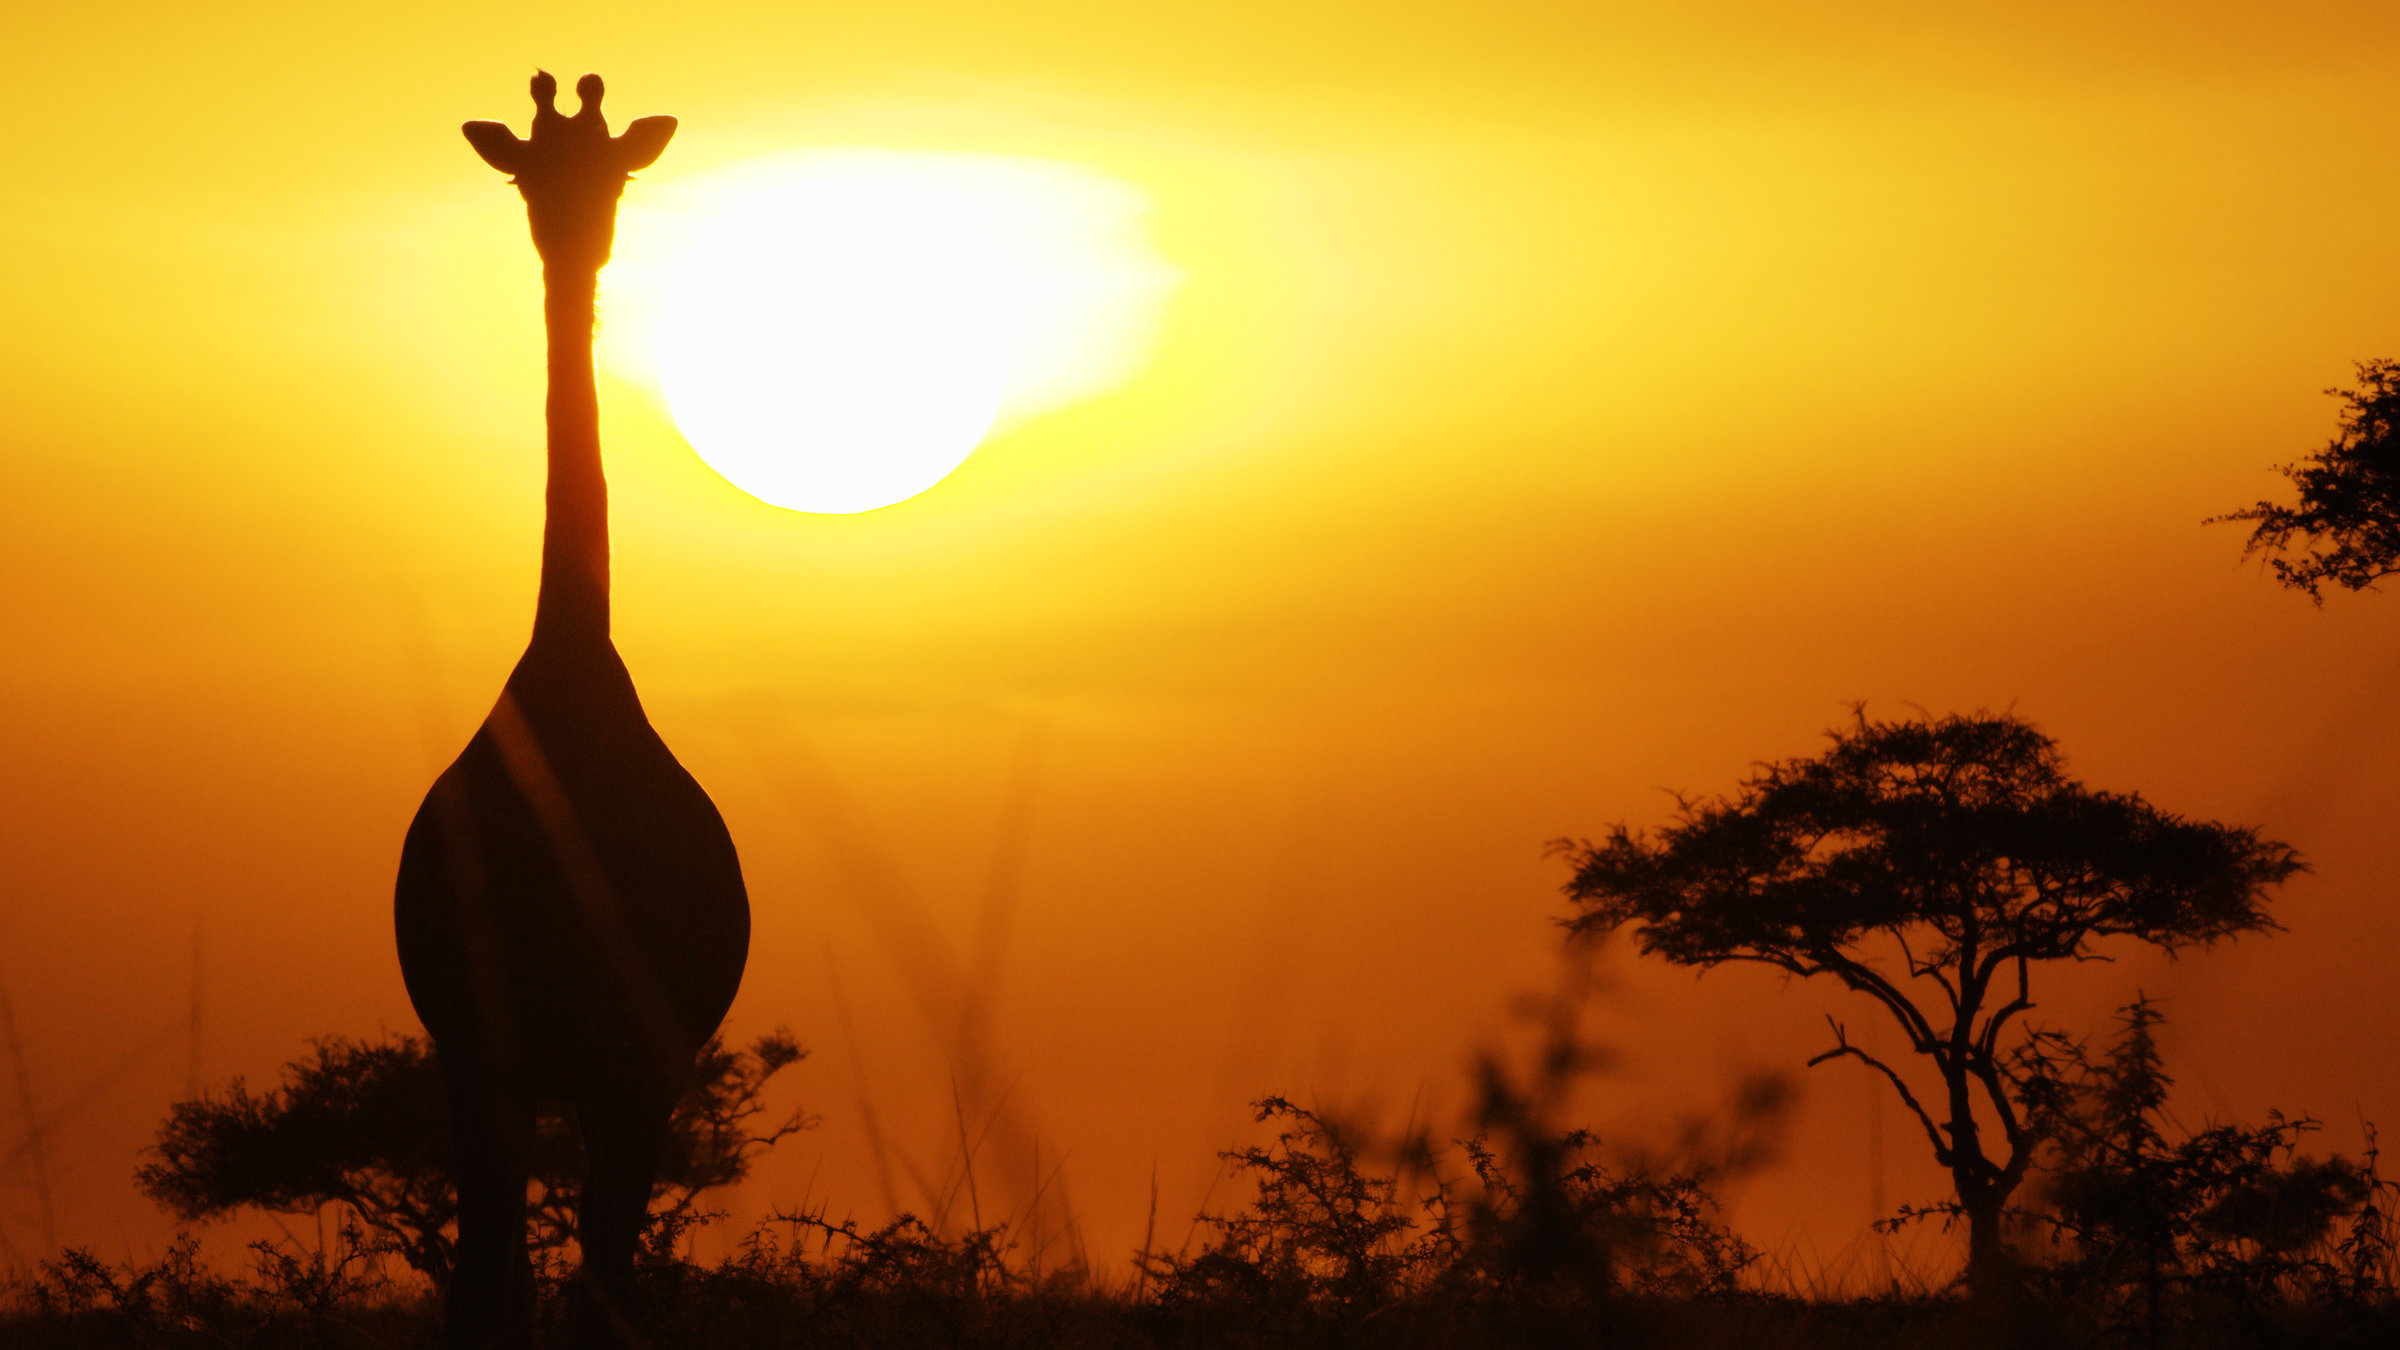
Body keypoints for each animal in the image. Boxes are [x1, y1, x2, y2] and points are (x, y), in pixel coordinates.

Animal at [394, 72, 750, 1349]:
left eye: (616, 174)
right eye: (525, 175)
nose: (576, 239)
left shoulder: (637, 1066)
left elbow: (601, 1284)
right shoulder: (480, 1049)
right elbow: (495, 1285)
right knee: (492, 1272)